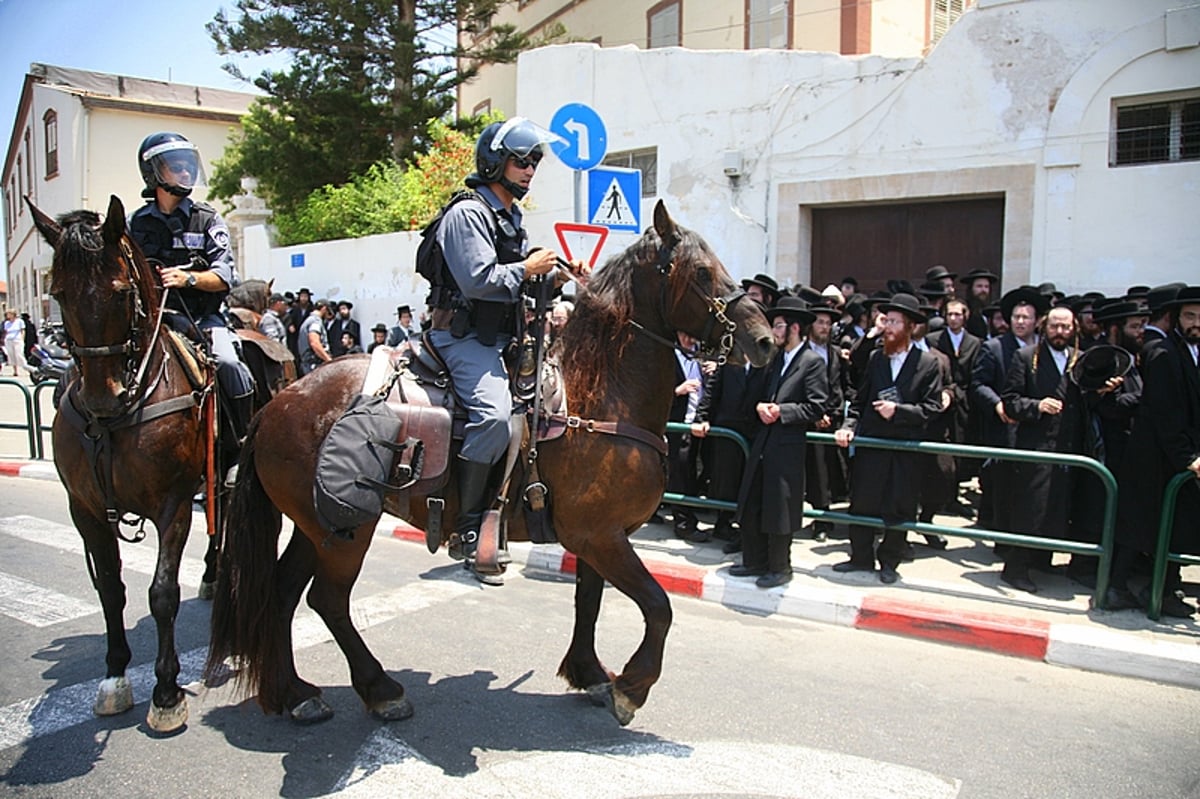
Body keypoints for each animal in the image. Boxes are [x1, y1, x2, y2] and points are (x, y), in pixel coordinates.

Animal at [29, 193, 230, 729]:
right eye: (58, 293)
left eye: (121, 292)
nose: (104, 397)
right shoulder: (85, 510)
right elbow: (110, 590)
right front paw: (116, 675)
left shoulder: (173, 503)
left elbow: (162, 593)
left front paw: (166, 691)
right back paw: (211, 576)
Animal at [206, 199, 772, 719]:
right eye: (701, 272)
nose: (764, 341)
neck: (596, 396)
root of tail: (279, 401)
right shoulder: (600, 536)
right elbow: (659, 606)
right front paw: (631, 686)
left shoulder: (597, 537)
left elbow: (589, 601)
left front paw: (589, 673)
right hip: (345, 530)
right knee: (326, 599)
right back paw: (378, 689)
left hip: (316, 525)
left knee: (281, 593)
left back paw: (293, 693)